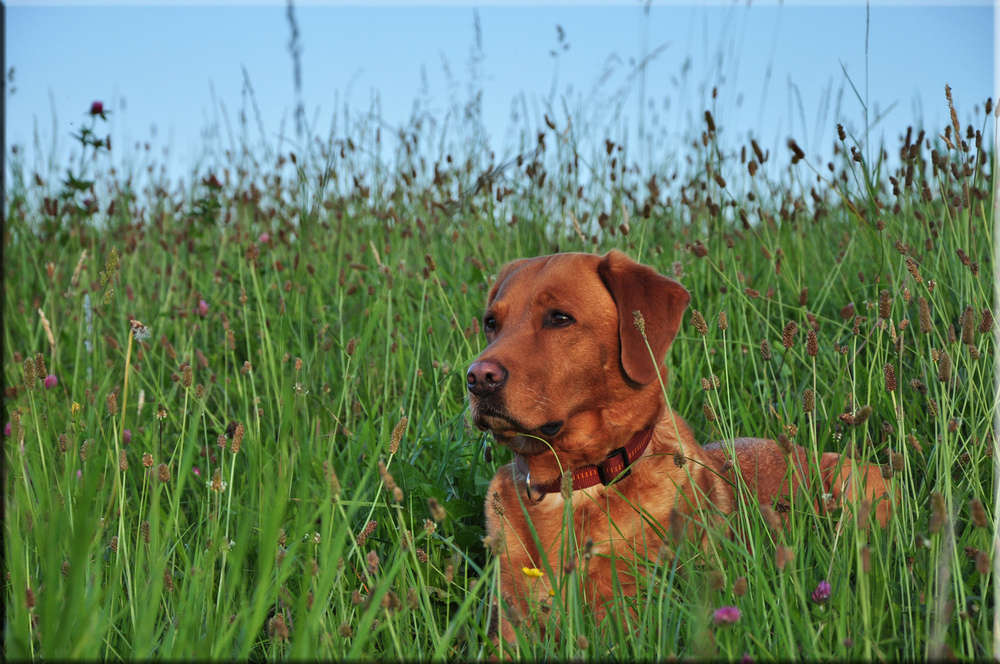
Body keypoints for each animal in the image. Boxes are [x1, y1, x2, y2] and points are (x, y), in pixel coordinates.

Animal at [466, 250, 892, 644]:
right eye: (491, 323)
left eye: (559, 318)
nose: (477, 377)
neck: (570, 481)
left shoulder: (627, 620)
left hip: (858, 484)